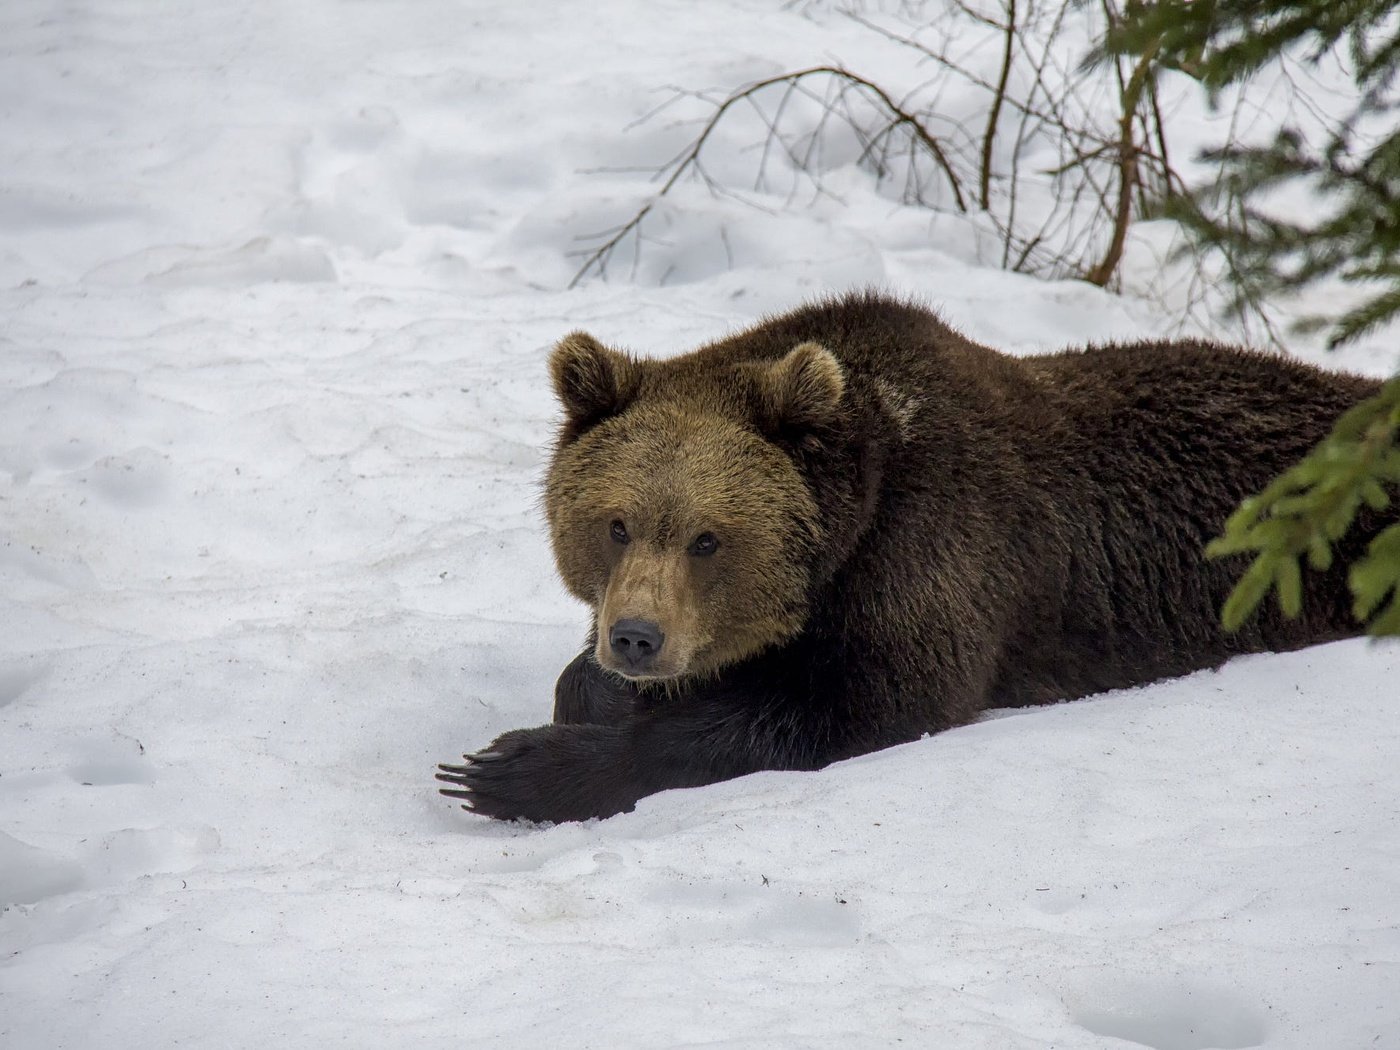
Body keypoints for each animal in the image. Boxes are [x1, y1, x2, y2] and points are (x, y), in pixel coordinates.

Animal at [439, 292, 1388, 828]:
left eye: (709, 538)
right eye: (616, 524)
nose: (637, 637)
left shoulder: (936, 554)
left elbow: (864, 701)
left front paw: (512, 770)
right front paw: (588, 696)